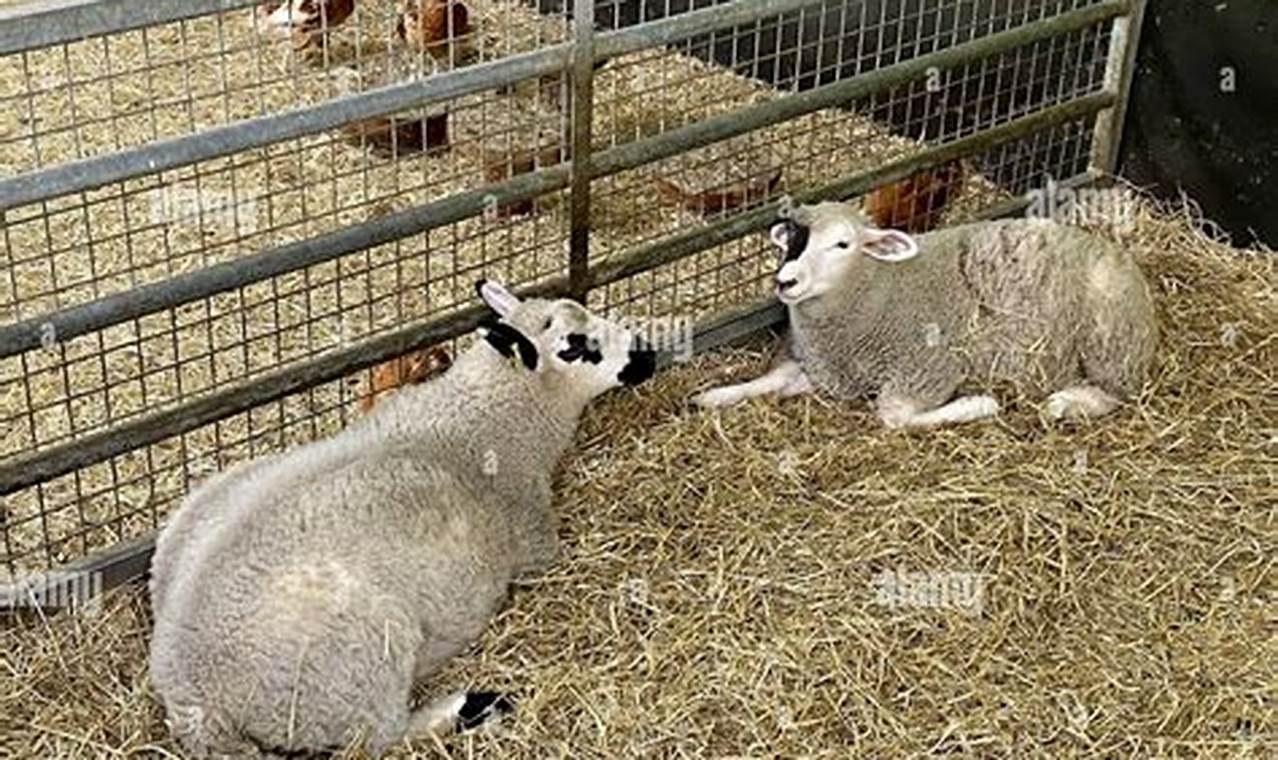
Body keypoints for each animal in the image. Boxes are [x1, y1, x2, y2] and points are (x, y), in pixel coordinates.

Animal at [148, 280, 656, 758]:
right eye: (575, 346)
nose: (646, 353)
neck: (487, 416)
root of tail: (193, 700)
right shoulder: (536, 542)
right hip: (363, 663)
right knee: (382, 737)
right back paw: (474, 707)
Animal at [693, 201, 1157, 428]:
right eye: (791, 240)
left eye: (843, 244)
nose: (785, 282)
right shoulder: (830, 372)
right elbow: (771, 380)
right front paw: (713, 396)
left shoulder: (929, 368)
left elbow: (895, 417)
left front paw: (979, 404)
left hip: (1109, 342)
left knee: (1117, 392)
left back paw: (1066, 404)